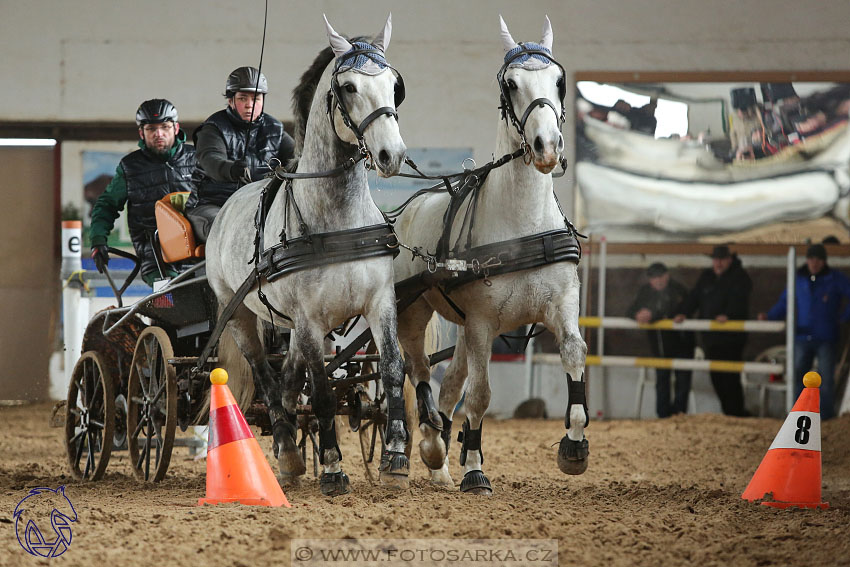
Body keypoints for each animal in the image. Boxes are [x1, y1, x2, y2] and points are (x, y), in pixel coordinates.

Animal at [202, 14, 408, 496]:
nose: (391, 155)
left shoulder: (379, 303)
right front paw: (332, 468)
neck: (339, 219)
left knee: (288, 380)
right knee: (268, 378)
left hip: (291, 324)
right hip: (241, 316)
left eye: (395, 85)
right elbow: (324, 393)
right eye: (348, 87)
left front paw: (394, 458)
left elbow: (391, 368)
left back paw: (292, 453)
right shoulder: (312, 319)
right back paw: (288, 450)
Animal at [392, 13, 588, 492]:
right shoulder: (483, 322)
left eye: (559, 81)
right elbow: (480, 396)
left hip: (463, 328)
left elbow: (575, 354)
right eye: (511, 84)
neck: (522, 224)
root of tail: (408, 209)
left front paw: (574, 445)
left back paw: (442, 460)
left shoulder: (561, 304)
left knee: (449, 383)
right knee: (419, 370)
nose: (547, 147)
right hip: (415, 311)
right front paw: (475, 468)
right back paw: (432, 444)